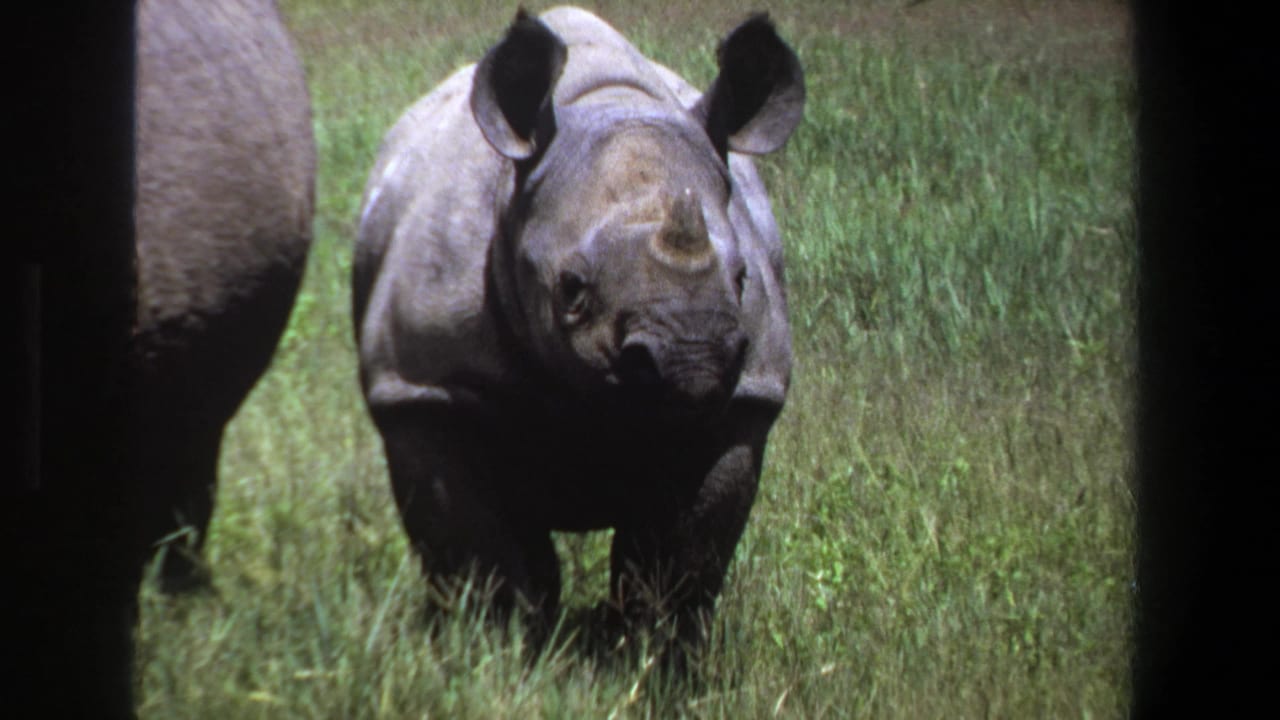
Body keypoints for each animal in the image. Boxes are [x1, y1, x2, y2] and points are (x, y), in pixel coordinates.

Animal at [353, 6, 803, 652]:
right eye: (571, 288)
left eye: (742, 277)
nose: (691, 362)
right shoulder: (424, 388)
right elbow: (478, 554)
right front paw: (498, 653)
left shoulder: (743, 397)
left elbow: (680, 561)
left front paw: (654, 659)